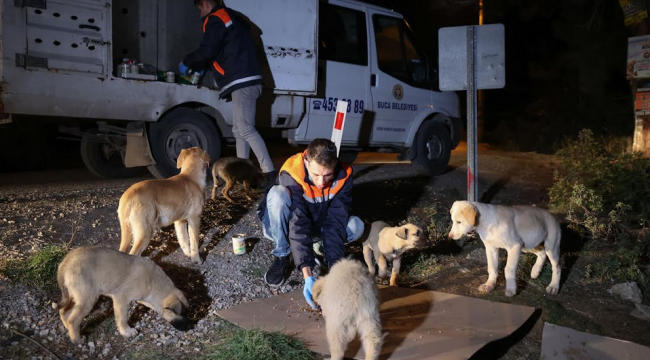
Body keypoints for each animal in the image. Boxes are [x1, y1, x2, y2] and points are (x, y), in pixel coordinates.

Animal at [54, 248, 189, 344]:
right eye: (178, 313)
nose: (188, 328)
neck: (153, 281)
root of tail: (65, 262)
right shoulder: (121, 298)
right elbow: (122, 318)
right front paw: (126, 331)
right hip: (87, 298)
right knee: (73, 319)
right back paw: (77, 339)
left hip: (75, 295)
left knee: (63, 311)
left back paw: (68, 329)